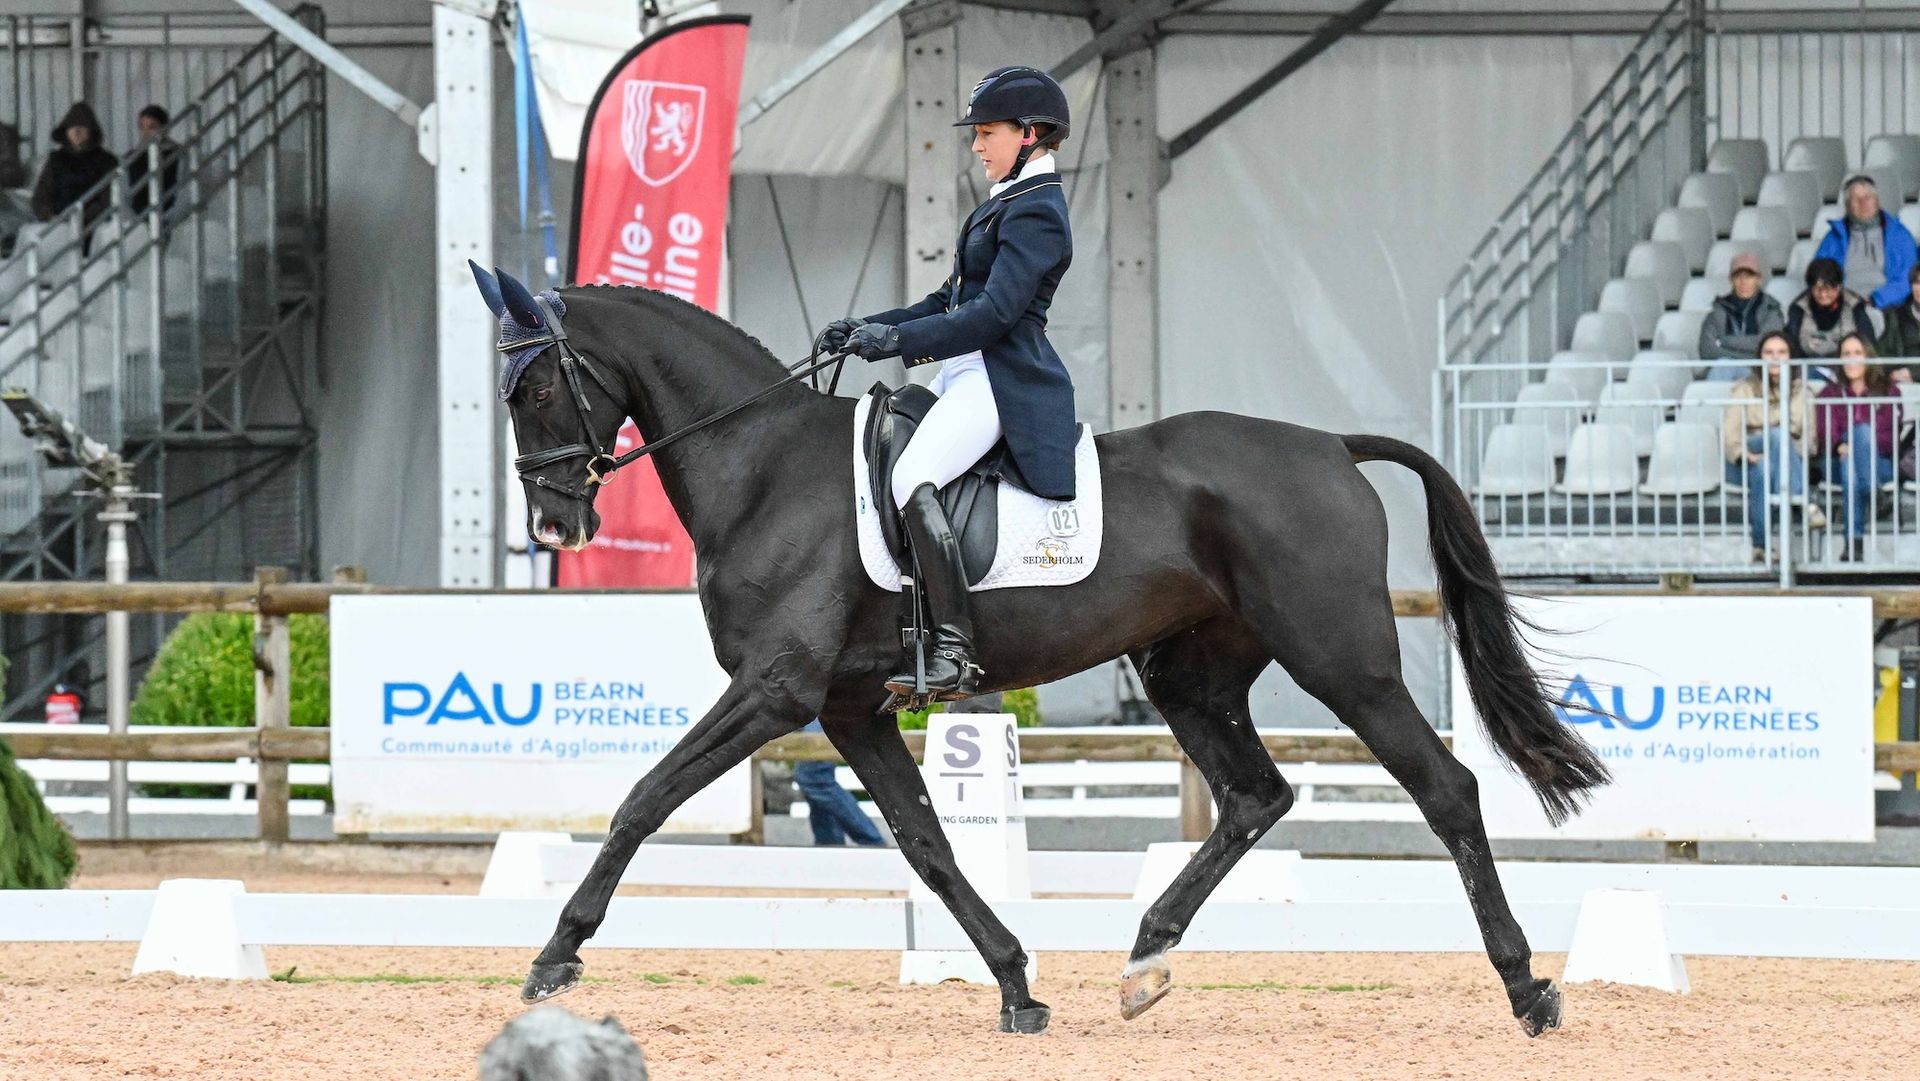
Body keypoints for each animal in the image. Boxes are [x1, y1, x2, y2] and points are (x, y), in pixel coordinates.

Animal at [470, 267, 1608, 1037]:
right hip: (1190, 672)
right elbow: (928, 845)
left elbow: (643, 799)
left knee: (1445, 787)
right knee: (1255, 796)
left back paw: (1527, 984)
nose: (556, 526)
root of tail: (1331, 446)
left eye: (538, 390)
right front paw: (1017, 985)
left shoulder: (778, 690)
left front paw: (553, 958)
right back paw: (1144, 960)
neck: (764, 467)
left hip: (1344, 661)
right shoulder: (850, 707)